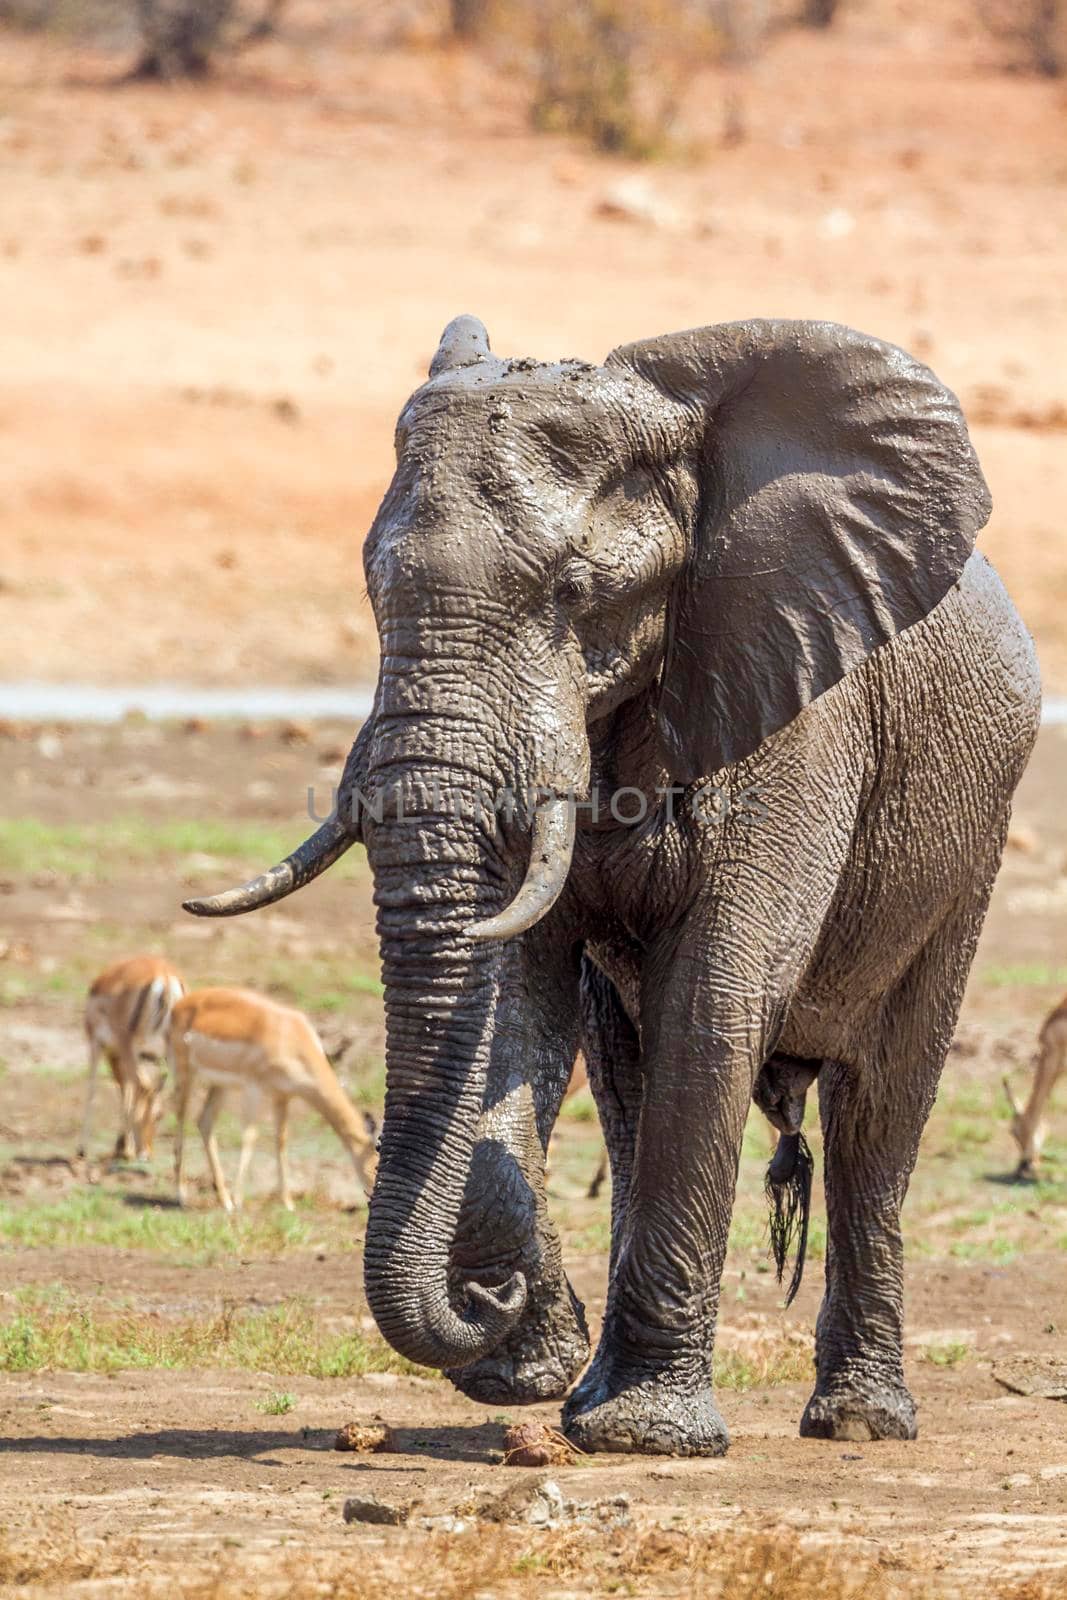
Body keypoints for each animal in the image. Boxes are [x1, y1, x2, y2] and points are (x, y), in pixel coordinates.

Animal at [187, 318, 1036, 1459]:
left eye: (573, 595)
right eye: (372, 591)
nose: (481, 1298)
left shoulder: (798, 702)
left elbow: (716, 997)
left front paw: (643, 1436)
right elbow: (513, 1003)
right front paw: (522, 1362)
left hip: (968, 835)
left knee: (879, 1105)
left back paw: (856, 1422)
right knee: (627, 1076)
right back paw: (588, 1392)